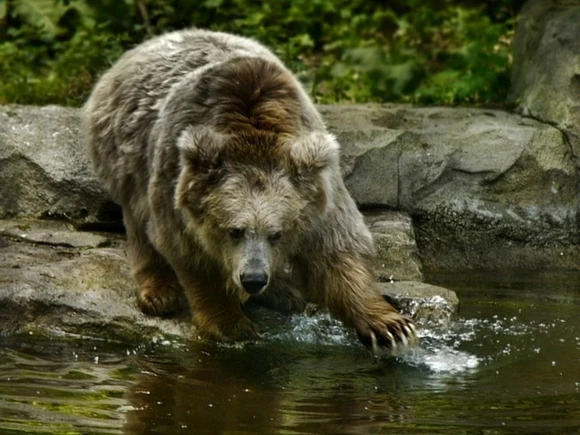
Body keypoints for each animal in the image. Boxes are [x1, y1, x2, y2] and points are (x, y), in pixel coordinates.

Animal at [82, 29, 416, 352]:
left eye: (276, 233)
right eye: (234, 231)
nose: (253, 279)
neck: (254, 132)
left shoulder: (319, 187)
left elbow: (337, 247)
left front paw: (391, 326)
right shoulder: (177, 185)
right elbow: (189, 253)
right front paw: (231, 325)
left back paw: (284, 292)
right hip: (125, 151)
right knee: (139, 221)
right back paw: (160, 293)